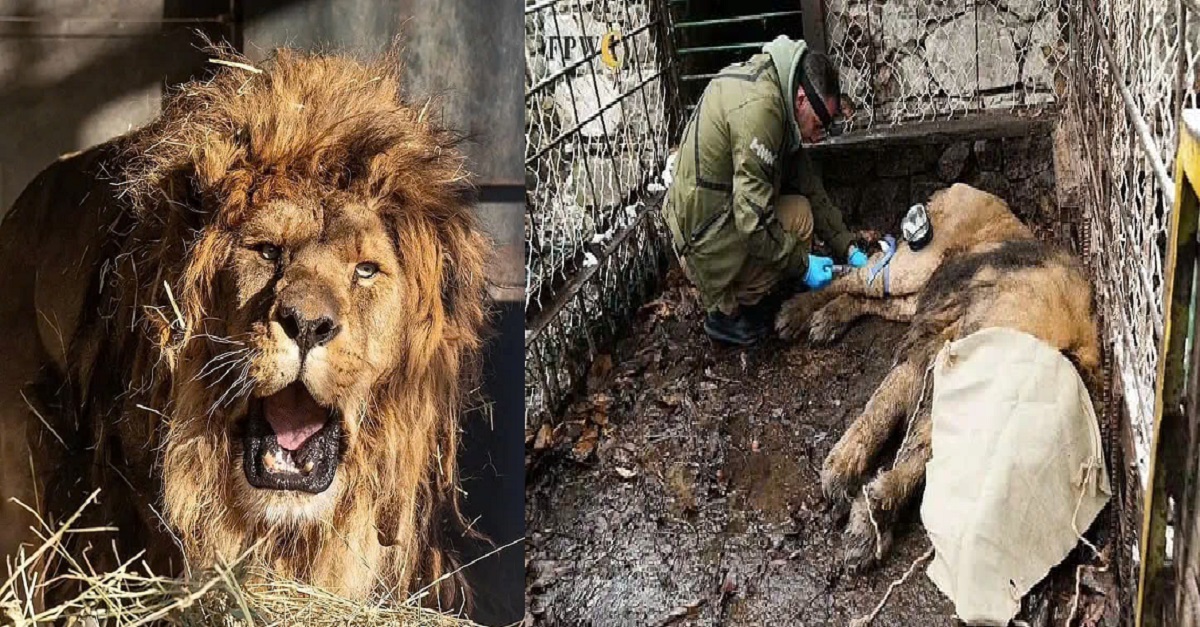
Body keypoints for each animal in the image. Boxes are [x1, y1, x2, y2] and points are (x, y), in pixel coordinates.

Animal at [772, 181, 1099, 571]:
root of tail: (962, 187)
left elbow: (915, 456)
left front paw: (871, 519)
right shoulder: (930, 358)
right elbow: (883, 417)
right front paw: (844, 475)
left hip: (915, 296)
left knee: (868, 298)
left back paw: (827, 319)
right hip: (912, 267)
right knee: (851, 278)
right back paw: (795, 311)